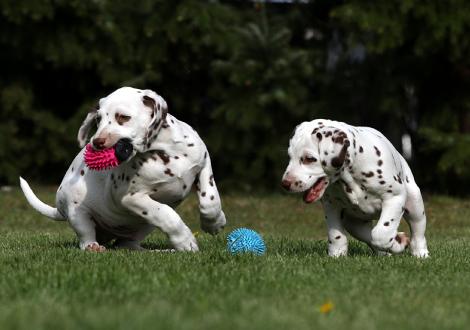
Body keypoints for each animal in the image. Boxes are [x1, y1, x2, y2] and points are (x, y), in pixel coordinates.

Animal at [21, 86, 227, 251]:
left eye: (123, 117)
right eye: (98, 119)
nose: (96, 142)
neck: (165, 151)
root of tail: (60, 209)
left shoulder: (204, 163)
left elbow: (210, 200)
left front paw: (214, 223)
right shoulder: (130, 197)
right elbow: (166, 214)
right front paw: (185, 241)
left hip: (144, 227)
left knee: (127, 245)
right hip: (77, 212)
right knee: (86, 237)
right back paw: (93, 247)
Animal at [282, 118, 430, 258]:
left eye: (309, 158)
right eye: (290, 156)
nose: (285, 183)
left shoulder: (394, 197)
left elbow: (381, 234)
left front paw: (396, 243)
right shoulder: (331, 206)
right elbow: (336, 236)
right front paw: (337, 255)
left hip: (414, 205)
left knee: (417, 233)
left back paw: (420, 253)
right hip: (353, 223)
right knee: (367, 234)